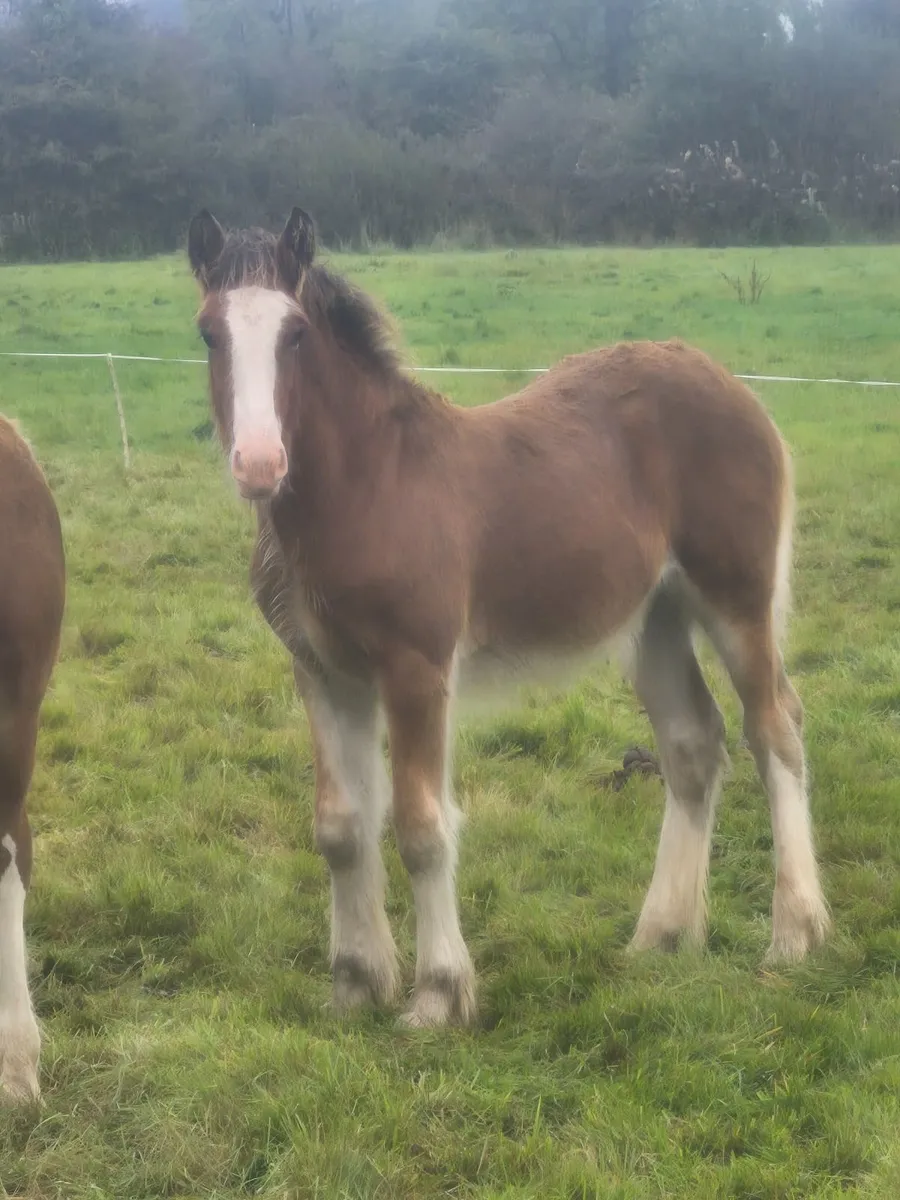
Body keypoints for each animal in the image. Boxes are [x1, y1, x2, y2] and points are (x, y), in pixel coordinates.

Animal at [187, 207, 829, 1027]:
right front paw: (356, 985)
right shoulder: (325, 672)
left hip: (736, 598)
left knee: (774, 729)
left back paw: (794, 934)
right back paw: (660, 935)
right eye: (210, 333)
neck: (368, 487)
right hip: (652, 618)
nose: (260, 464)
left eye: (295, 332)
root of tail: (733, 387)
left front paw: (438, 995)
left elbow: (422, 826)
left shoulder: (417, 668)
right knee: (693, 743)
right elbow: (341, 827)